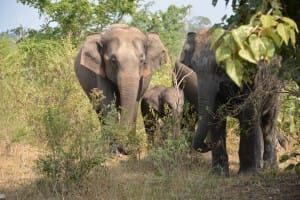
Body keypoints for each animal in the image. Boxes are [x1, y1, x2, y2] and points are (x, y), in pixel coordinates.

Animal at [179, 28, 282, 175]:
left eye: (220, 68)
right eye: (195, 69)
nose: (208, 145)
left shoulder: (253, 78)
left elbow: (248, 114)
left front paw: (246, 174)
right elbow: (216, 117)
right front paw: (219, 174)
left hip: (276, 89)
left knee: (268, 123)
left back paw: (269, 169)